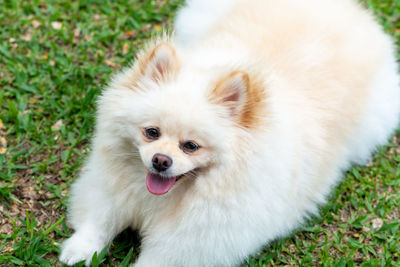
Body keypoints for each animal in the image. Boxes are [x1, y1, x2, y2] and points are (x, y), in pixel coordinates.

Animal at [59, 0, 400, 266]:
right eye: (151, 133)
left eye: (191, 146)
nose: (160, 160)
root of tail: (348, 10)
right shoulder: (108, 187)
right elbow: (99, 220)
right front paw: (80, 249)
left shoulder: (195, 240)